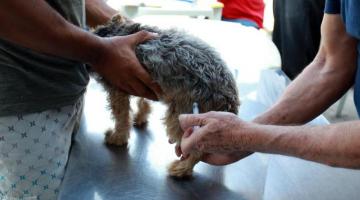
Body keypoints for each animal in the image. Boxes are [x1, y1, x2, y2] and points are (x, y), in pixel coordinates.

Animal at [92, 15, 239, 178]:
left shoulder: (118, 86)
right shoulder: (141, 82)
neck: (115, 30)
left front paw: (117, 137)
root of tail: (228, 97)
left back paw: (182, 168)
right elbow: (143, 102)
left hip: (183, 116)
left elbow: (121, 117)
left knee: (197, 149)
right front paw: (140, 116)